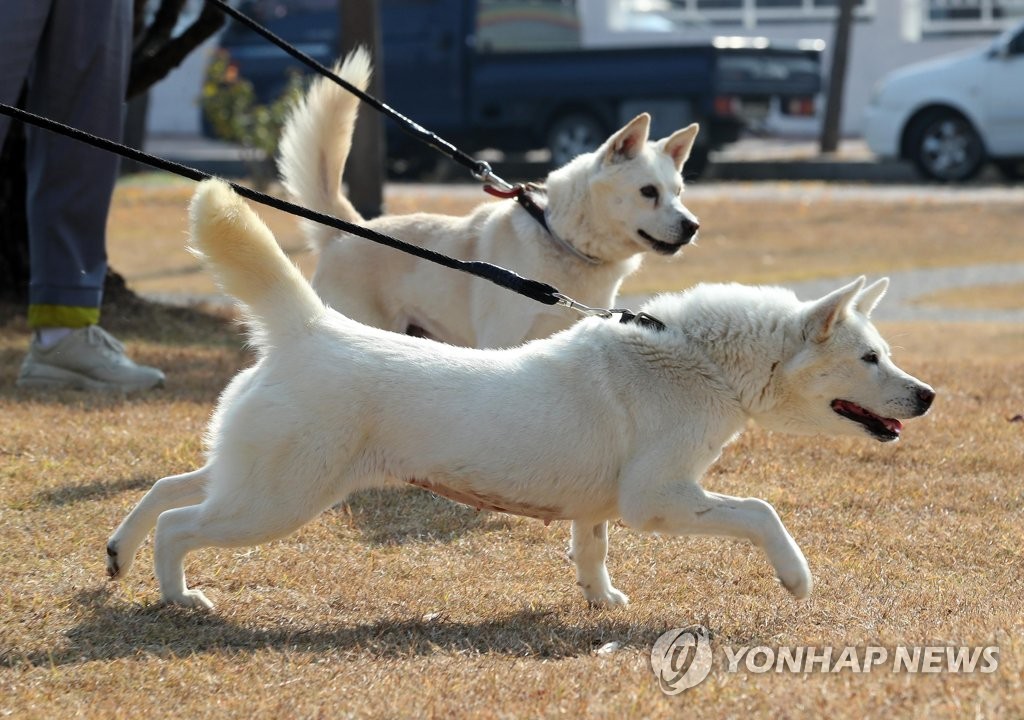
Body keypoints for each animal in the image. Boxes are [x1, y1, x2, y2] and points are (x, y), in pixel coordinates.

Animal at [105, 181, 937, 614]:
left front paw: (601, 601)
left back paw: (118, 554)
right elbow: (762, 513)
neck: (695, 360)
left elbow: (591, 549)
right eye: (870, 357)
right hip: (277, 500)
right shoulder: (658, 500)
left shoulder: (603, 507)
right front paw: (796, 577)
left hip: (253, 474)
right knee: (180, 524)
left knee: (168, 488)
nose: (928, 395)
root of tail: (310, 327)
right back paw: (178, 597)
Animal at [276, 47, 700, 346]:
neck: (561, 239)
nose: (692, 226)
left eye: (678, 192)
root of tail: (343, 232)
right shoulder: (502, 342)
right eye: (648, 192)